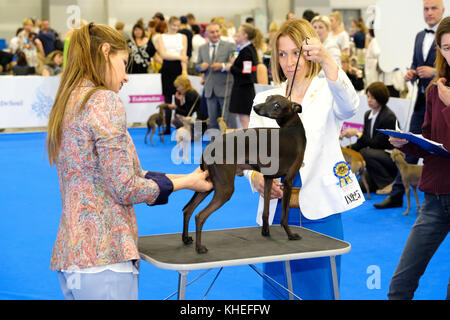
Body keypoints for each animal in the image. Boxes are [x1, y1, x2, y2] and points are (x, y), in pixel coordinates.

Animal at [182, 94, 306, 254]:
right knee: (200, 216)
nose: (255, 107)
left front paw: (266, 232)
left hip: (208, 184)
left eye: (276, 105)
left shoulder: (268, 178)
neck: (293, 128)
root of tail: (208, 148)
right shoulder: (289, 180)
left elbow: (265, 212)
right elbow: (284, 217)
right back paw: (199, 247)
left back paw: (186, 239)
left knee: (188, 209)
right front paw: (290, 235)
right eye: (268, 98)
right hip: (224, 189)